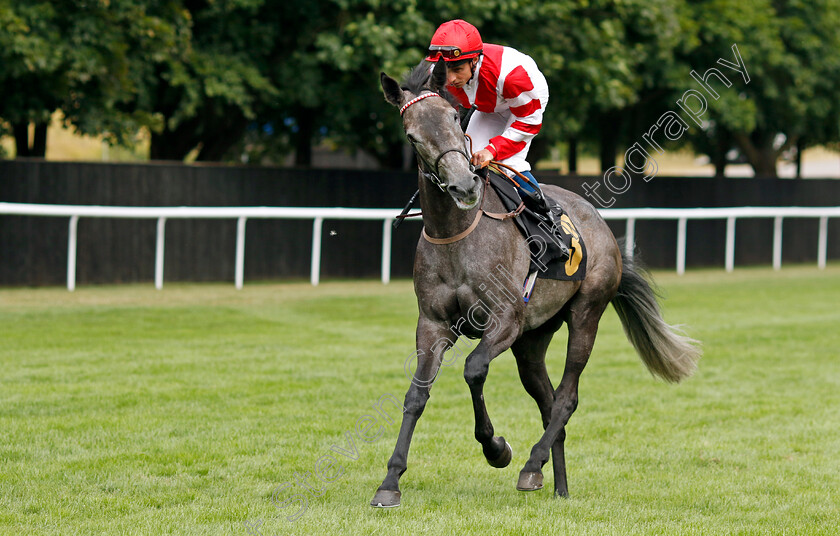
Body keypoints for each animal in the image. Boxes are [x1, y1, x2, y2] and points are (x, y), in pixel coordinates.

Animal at [370, 58, 700, 506]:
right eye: (411, 135)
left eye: (455, 118)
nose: (464, 184)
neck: (457, 232)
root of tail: (601, 225)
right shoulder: (433, 325)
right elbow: (416, 394)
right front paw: (390, 481)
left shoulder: (505, 321)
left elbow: (473, 369)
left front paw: (496, 448)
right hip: (532, 339)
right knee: (547, 401)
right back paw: (555, 483)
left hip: (585, 314)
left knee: (566, 398)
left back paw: (530, 465)